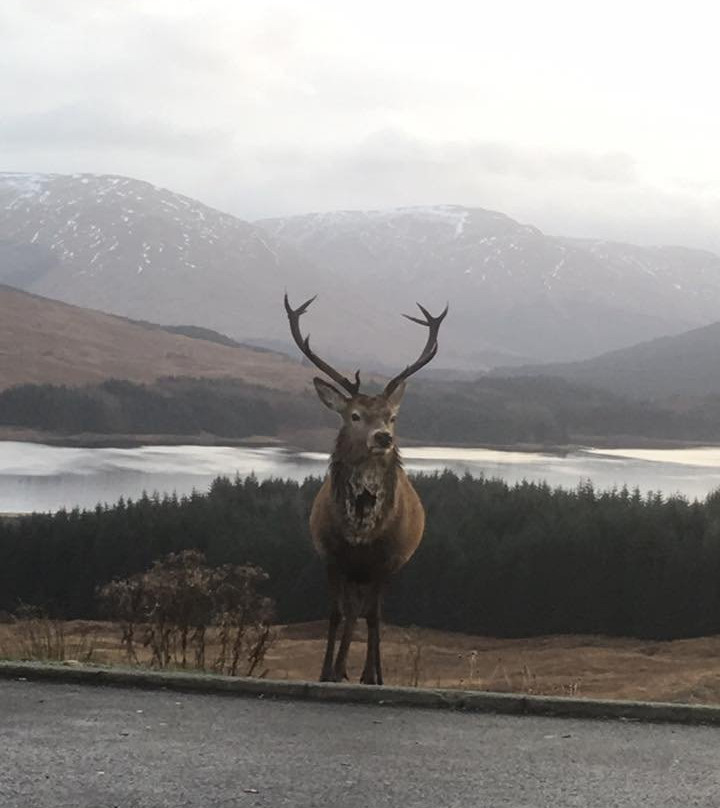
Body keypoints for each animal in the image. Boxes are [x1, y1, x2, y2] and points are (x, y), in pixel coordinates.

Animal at [286, 294, 444, 684]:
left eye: (392, 416)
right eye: (354, 415)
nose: (383, 437)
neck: (359, 530)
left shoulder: (385, 561)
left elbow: (374, 618)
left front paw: (372, 676)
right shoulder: (330, 555)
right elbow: (335, 614)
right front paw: (326, 672)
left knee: (370, 614)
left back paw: (367, 671)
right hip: (354, 574)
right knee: (352, 611)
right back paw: (342, 668)